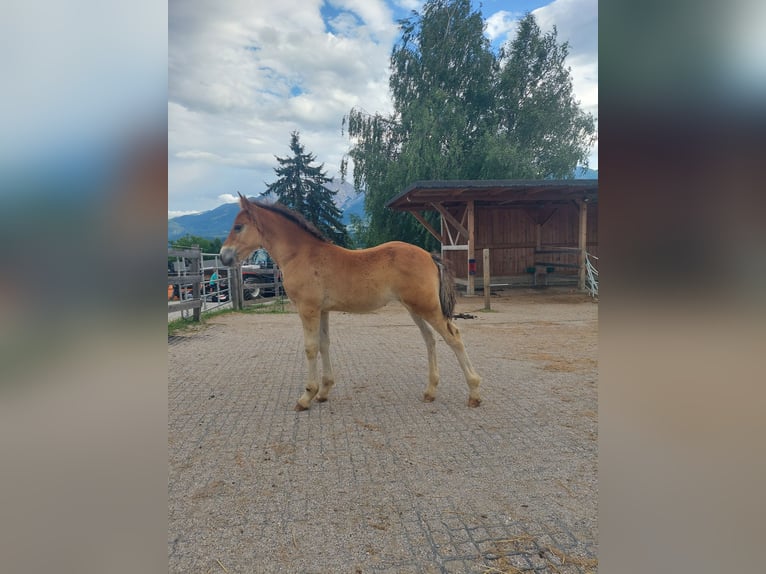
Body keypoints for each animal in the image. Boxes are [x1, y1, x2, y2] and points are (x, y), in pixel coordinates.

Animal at [220, 193, 482, 411]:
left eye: (238, 226)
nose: (223, 257)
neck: (301, 254)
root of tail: (429, 255)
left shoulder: (308, 309)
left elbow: (310, 347)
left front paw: (306, 397)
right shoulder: (323, 311)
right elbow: (324, 344)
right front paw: (324, 392)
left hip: (427, 307)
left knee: (454, 337)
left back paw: (474, 392)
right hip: (414, 308)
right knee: (430, 339)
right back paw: (430, 391)